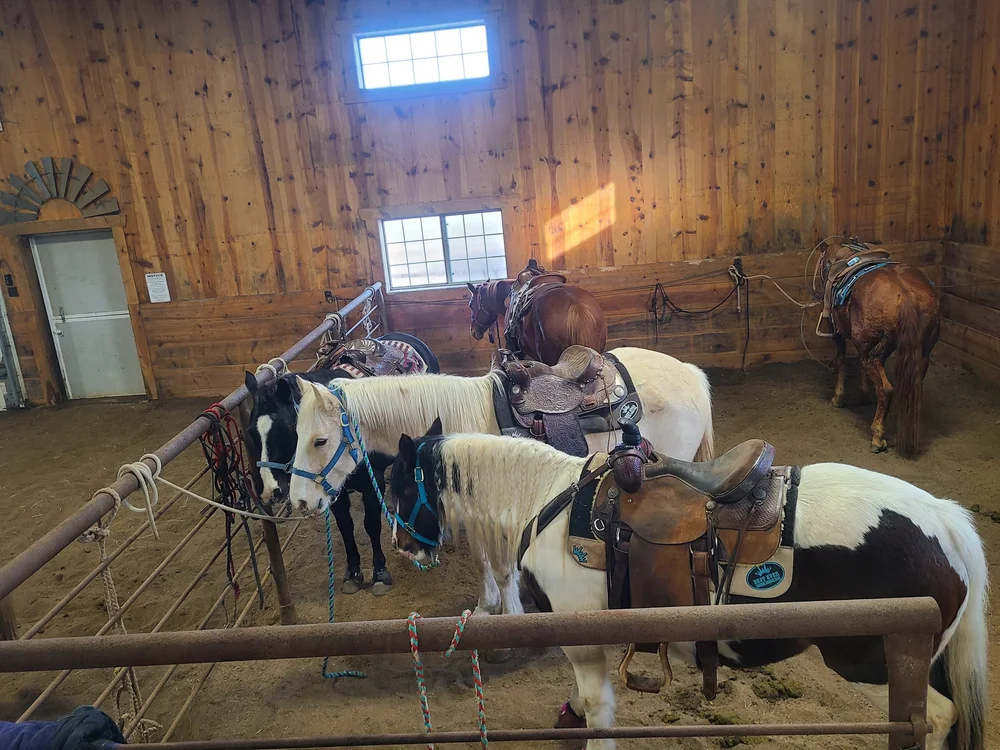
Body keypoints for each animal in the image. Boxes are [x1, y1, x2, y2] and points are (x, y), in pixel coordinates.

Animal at [243, 333, 439, 595]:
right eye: (251, 432)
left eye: (288, 429)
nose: (270, 491)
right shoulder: (330, 487)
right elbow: (346, 526)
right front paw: (353, 571)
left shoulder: (372, 483)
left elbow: (371, 524)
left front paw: (379, 572)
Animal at [288, 346, 714, 617]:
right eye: (294, 433)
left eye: (319, 440)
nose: (299, 501)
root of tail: (690, 371)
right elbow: (483, 562)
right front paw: (485, 607)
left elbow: (502, 564)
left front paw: (509, 613)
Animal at [387, 421, 988, 750]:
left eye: (398, 487)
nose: (401, 545)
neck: (547, 498)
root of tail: (946, 520)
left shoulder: (581, 638)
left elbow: (598, 707)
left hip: (876, 665)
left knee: (935, 718)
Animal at [818, 241, 941, 456]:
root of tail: (906, 296)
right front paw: (863, 394)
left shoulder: (837, 331)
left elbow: (841, 361)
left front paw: (838, 397)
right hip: (922, 353)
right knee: (911, 387)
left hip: (873, 354)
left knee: (886, 389)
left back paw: (878, 436)